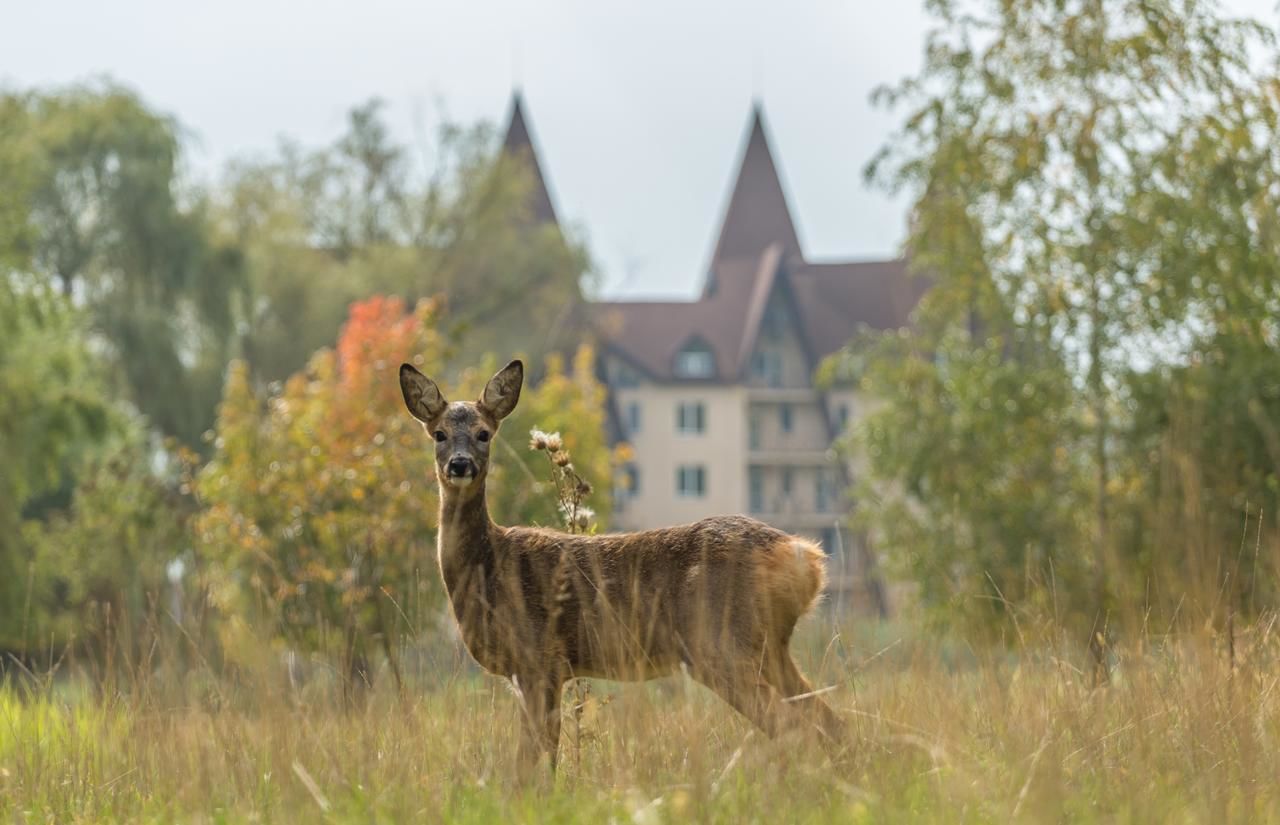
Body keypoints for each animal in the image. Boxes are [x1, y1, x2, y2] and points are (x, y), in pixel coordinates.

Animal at [394, 358, 844, 777]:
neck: (490, 565)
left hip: (720, 643)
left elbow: (531, 761)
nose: (459, 464)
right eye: (439, 433)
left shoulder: (540, 658)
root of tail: (805, 556)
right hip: (768, 646)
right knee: (826, 717)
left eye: (485, 433)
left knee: (792, 724)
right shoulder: (540, 670)